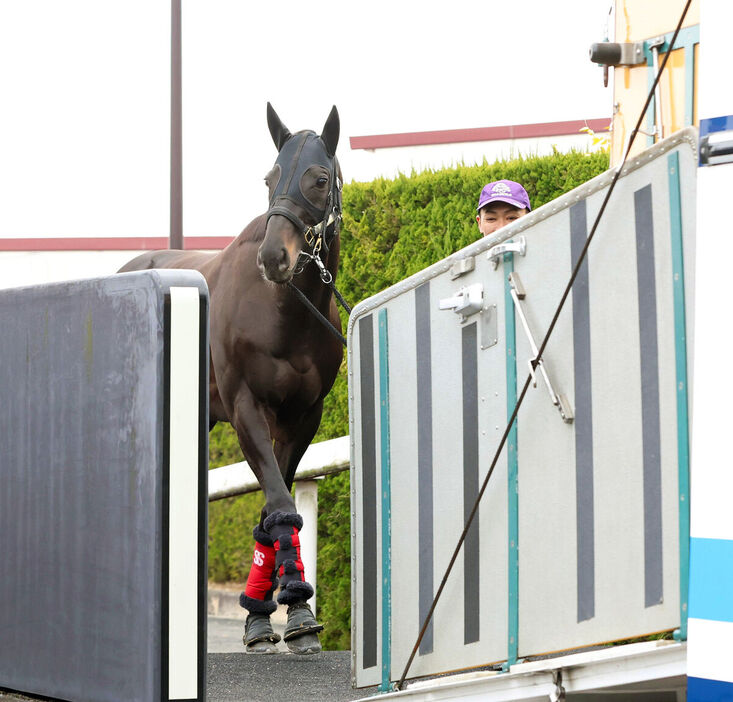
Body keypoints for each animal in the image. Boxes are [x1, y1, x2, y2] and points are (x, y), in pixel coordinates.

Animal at [121, 104, 344, 656]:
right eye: (269, 178)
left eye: (319, 179)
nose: (274, 257)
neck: (284, 314)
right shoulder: (246, 408)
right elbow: (280, 502)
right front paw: (291, 604)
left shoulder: (303, 417)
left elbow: (272, 511)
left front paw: (273, 616)